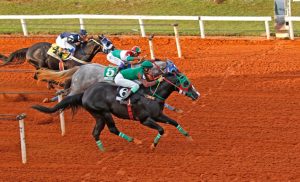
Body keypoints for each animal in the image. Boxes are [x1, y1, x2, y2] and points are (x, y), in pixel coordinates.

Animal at [31, 70, 200, 151]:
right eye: (186, 82)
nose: (197, 95)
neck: (152, 94)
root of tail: (84, 93)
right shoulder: (145, 120)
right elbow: (162, 130)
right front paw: (153, 145)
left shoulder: (158, 115)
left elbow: (174, 122)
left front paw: (189, 137)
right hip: (104, 112)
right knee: (112, 129)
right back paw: (134, 140)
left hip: (98, 116)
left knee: (96, 132)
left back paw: (103, 150)